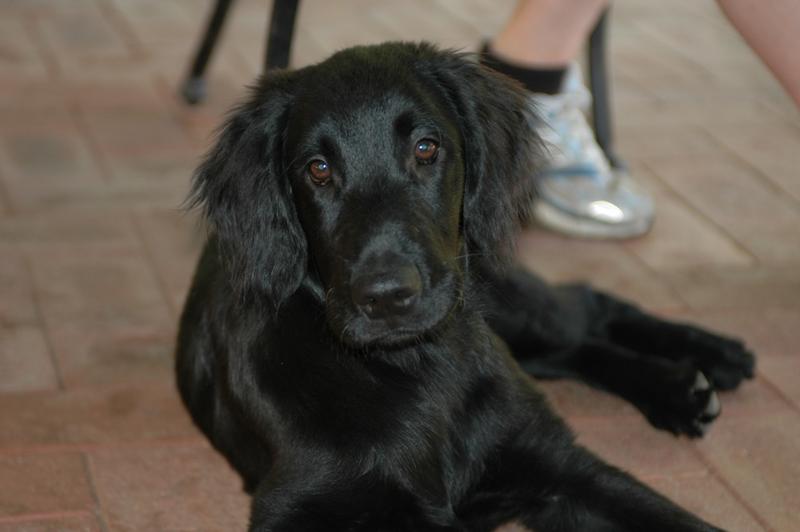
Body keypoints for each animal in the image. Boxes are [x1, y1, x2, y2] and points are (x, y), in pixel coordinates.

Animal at [176, 42, 754, 531]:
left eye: (426, 148)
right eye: (318, 169)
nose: (387, 297)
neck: (410, 368)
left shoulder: (562, 466)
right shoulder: (296, 504)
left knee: (586, 308)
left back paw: (711, 358)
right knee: (573, 344)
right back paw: (682, 387)